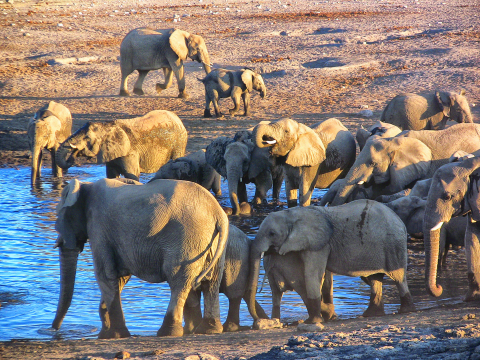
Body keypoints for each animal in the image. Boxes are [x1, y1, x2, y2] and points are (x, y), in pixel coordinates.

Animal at [52, 179, 229, 338]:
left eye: (59, 218)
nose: (54, 330)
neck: (85, 186)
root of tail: (218, 213)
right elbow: (120, 277)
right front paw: (106, 331)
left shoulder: (98, 228)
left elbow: (105, 274)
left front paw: (115, 335)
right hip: (211, 242)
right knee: (211, 283)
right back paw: (209, 330)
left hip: (187, 239)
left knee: (178, 282)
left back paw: (168, 332)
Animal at [56, 109, 188, 181]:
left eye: (87, 138)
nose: (72, 157)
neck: (106, 126)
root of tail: (178, 119)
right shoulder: (110, 152)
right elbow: (111, 175)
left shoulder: (130, 152)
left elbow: (132, 175)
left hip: (179, 143)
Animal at [246, 200, 414, 324]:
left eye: (272, 233)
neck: (293, 213)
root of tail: (401, 222)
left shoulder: (319, 244)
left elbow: (313, 274)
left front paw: (312, 322)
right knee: (374, 278)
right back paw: (371, 314)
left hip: (393, 245)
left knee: (398, 277)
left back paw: (405, 311)